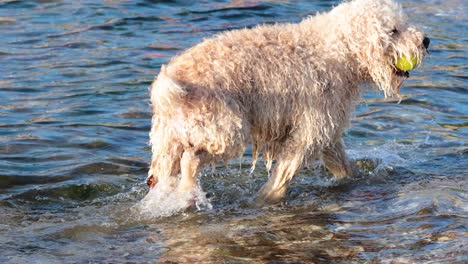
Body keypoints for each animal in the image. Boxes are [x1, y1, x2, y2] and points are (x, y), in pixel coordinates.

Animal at [145, 0, 428, 206]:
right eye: (393, 31)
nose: (425, 41)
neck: (339, 51)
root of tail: (170, 87)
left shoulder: (326, 129)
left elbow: (342, 165)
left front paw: (355, 179)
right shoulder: (310, 131)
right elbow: (285, 172)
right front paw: (266, 199)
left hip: (169, 141)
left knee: (162, 173)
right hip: (226, 131)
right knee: (190, 160)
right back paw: (188, 191)